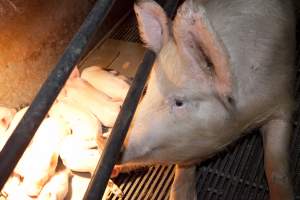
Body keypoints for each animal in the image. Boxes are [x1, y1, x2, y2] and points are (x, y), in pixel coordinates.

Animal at [110, 0, 296, 200]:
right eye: (148, 90)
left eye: (179, 102)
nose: (106, 142)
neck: (241, 122)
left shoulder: (283, 101)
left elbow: (275, 166)